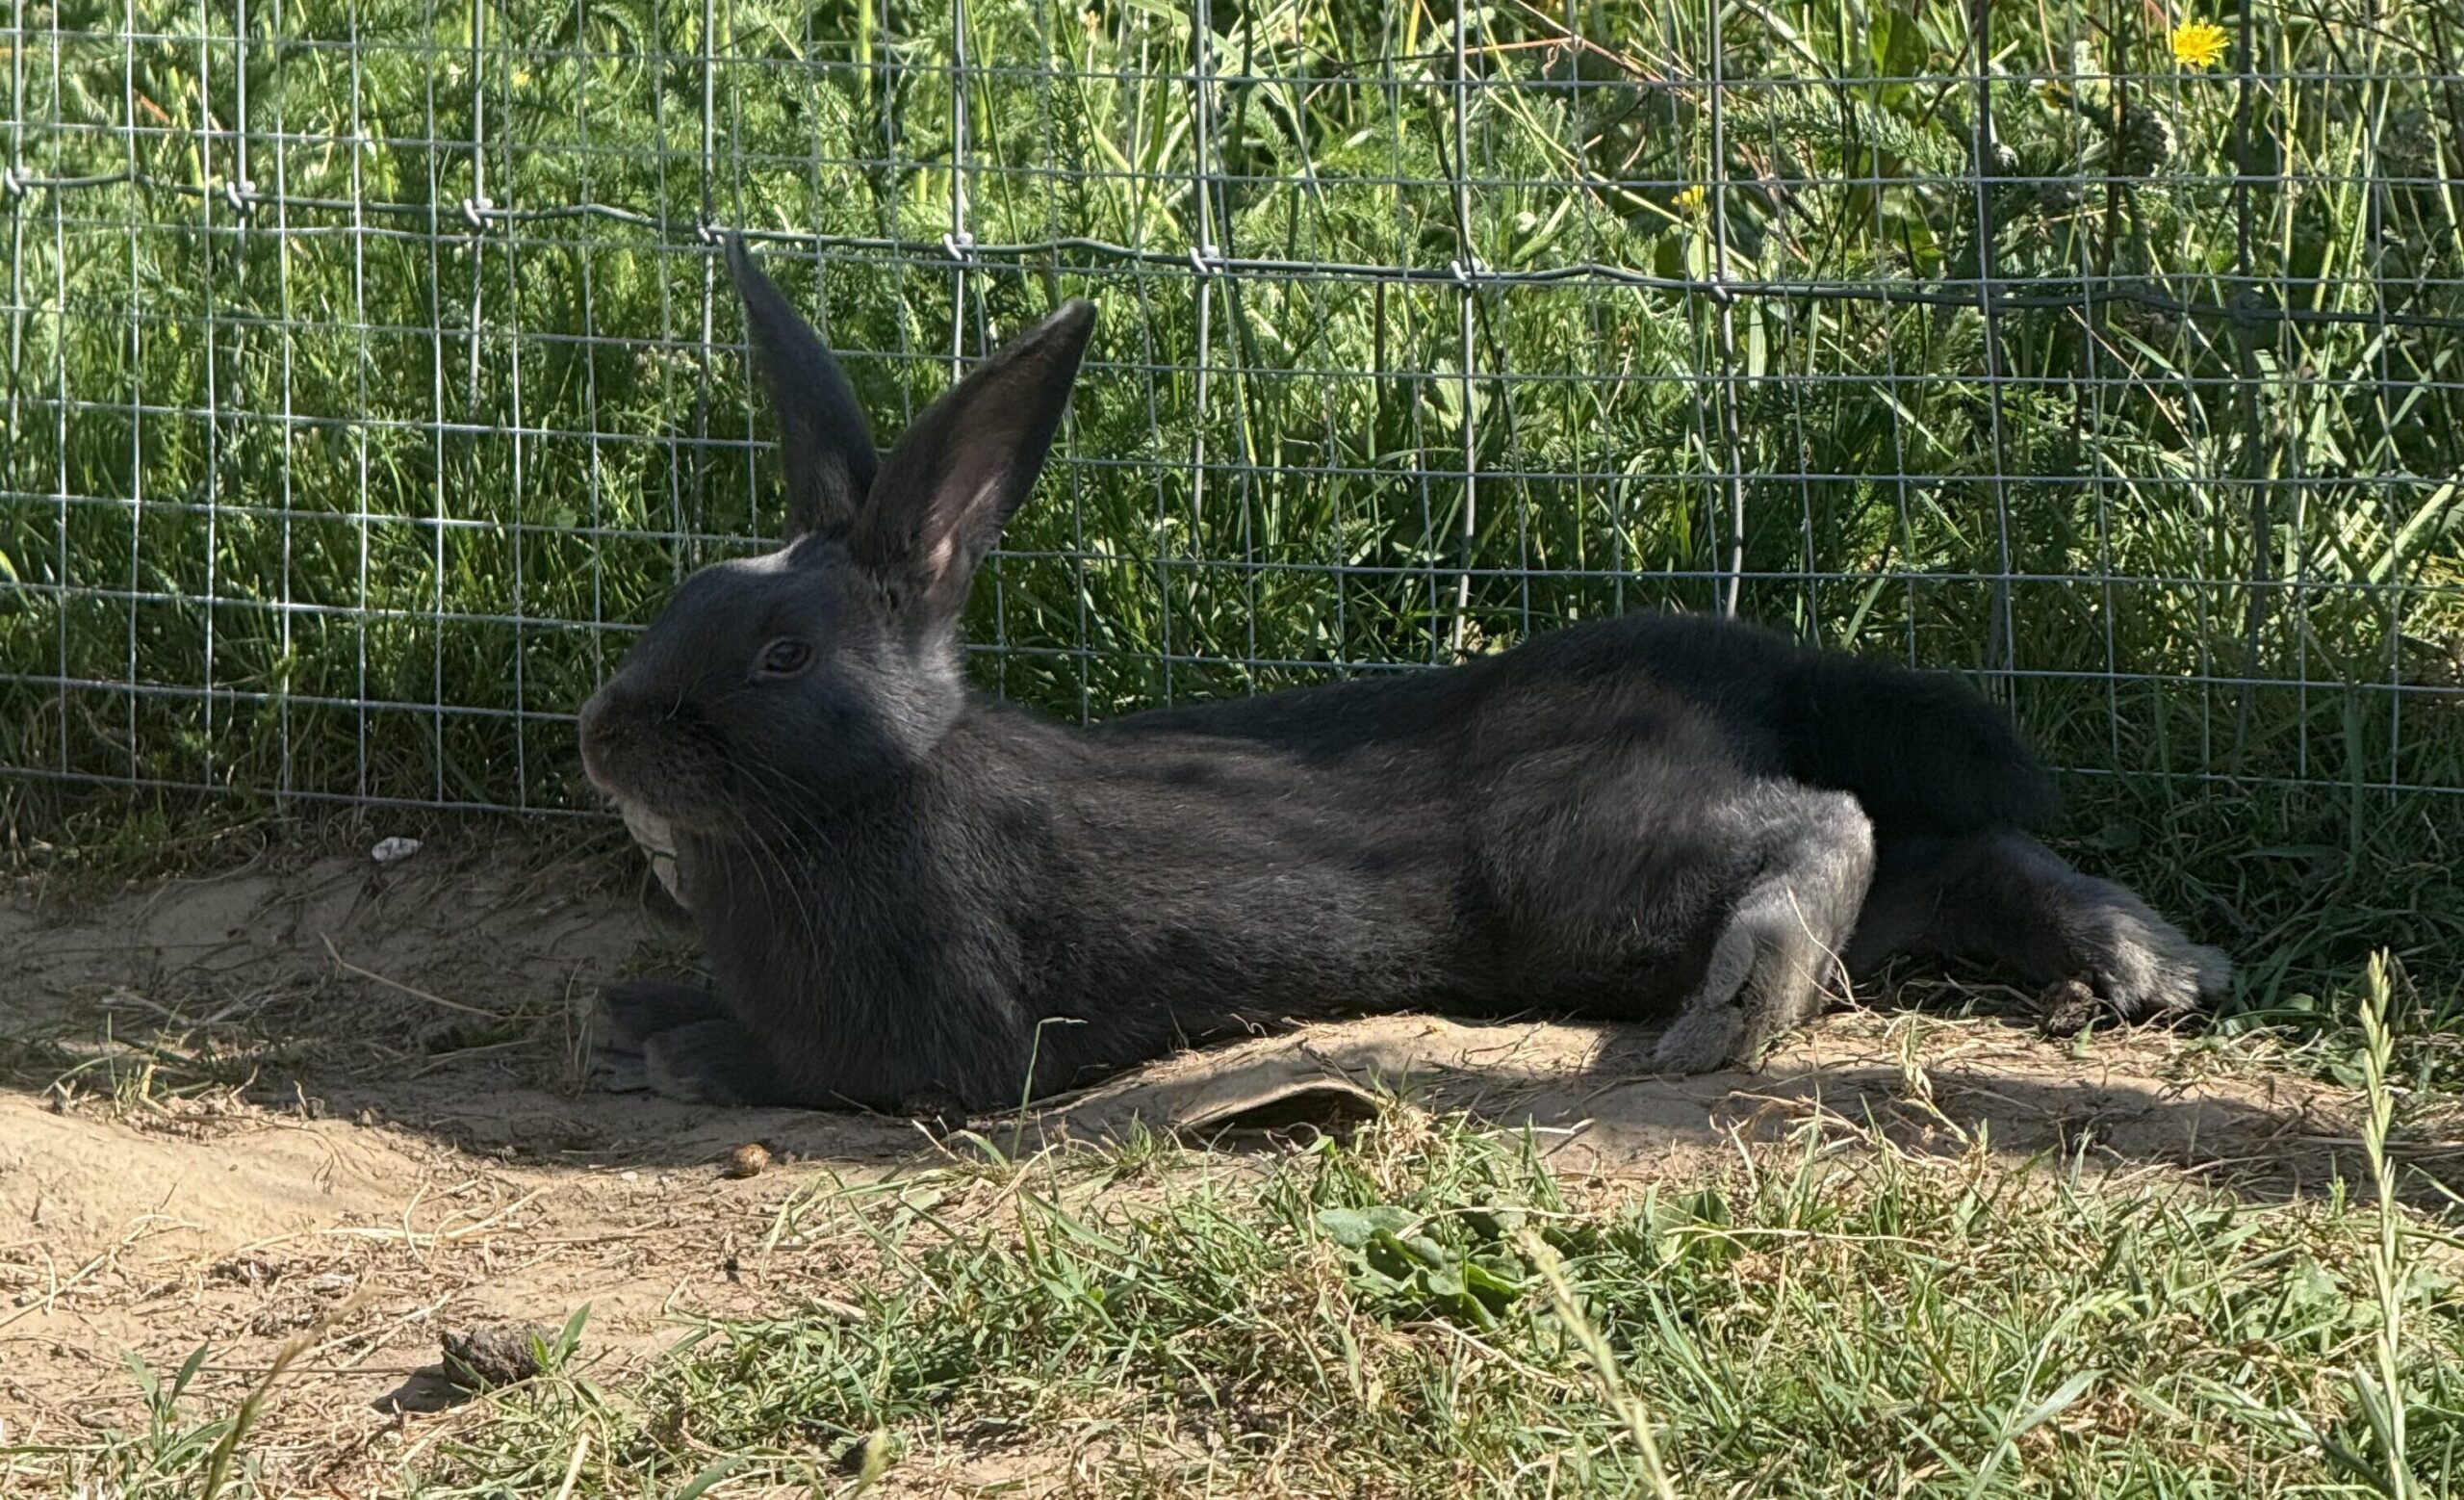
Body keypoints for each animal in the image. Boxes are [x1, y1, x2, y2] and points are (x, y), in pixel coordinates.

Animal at [577, 239, 2232, 1114]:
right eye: (683, 603)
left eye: (782, 654)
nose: (606, 734)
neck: (878, 788)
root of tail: (1744, 655)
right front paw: (635, 1006)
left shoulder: (942, 1041)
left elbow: (802, 1063)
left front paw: (669, 1039)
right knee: (1959, 851)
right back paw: (2147, 961)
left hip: (1582, 870)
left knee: (1833, 822)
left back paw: (1742, 1004)